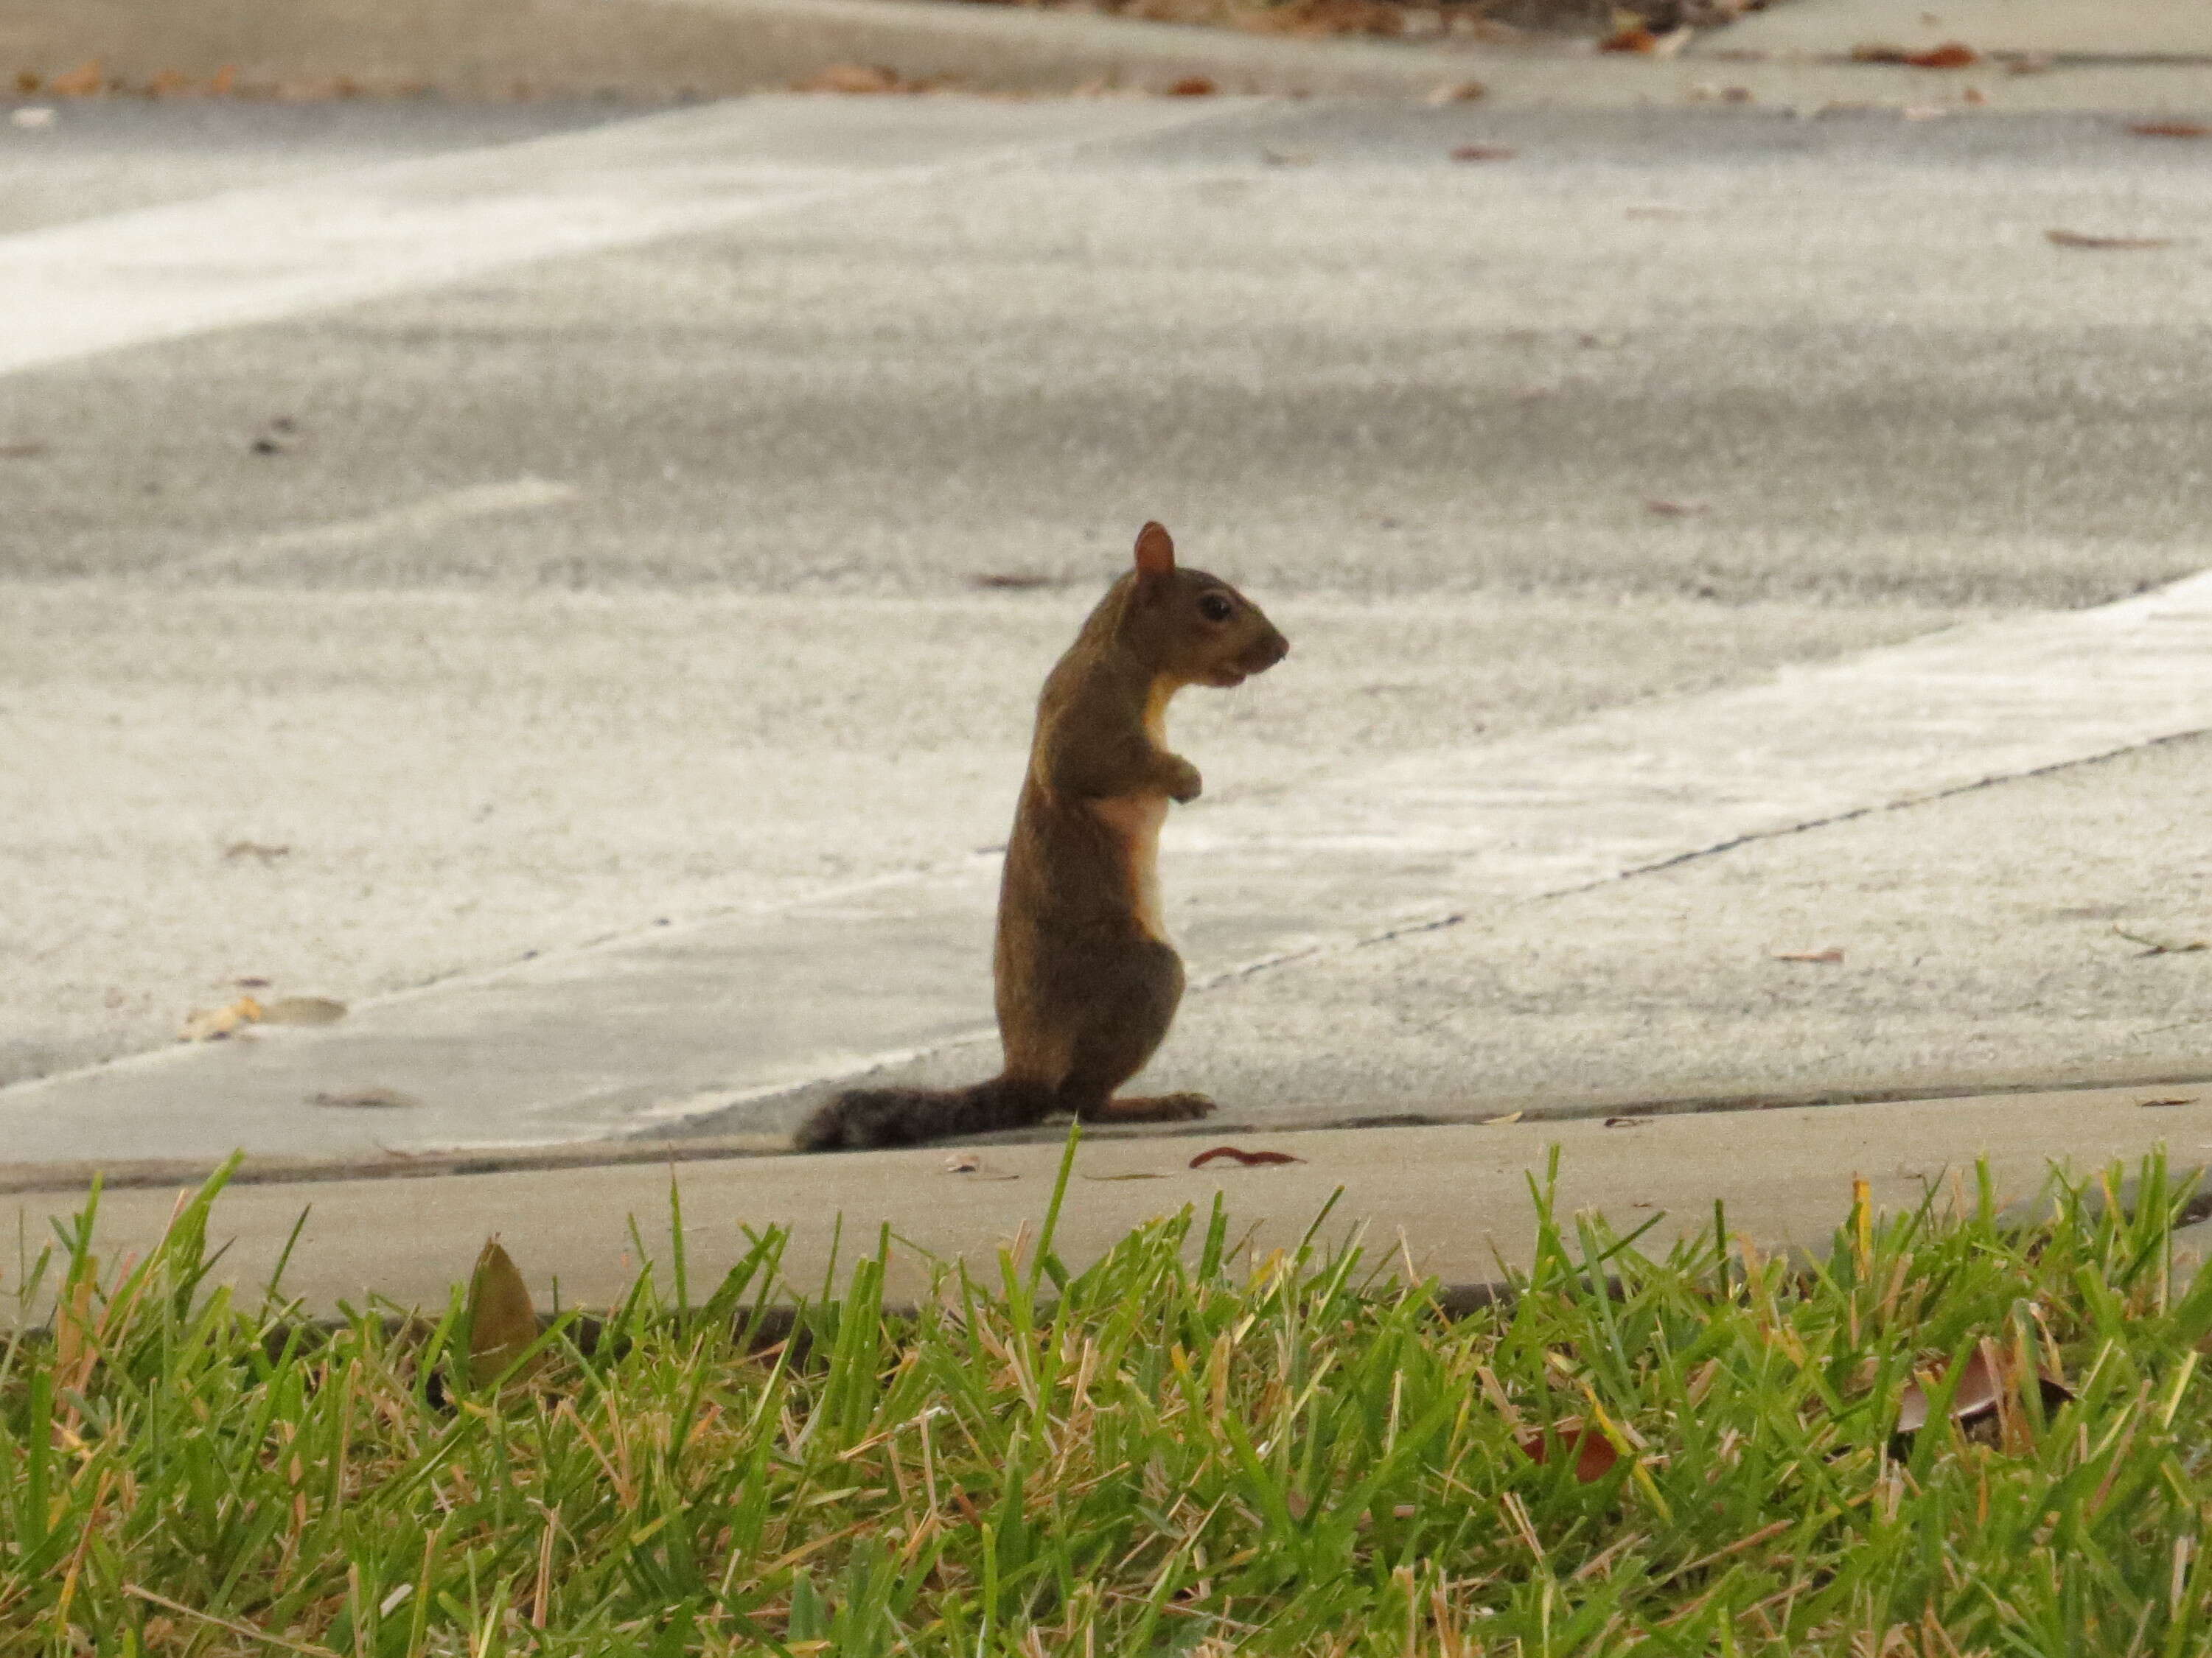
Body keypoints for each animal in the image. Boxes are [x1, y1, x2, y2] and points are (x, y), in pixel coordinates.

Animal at [796, 522, 1291, 1158]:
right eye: (1216, 607)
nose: (1281, 647)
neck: (1125, 658)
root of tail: (1026, 1070)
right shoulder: (1087, 713)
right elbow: (1090, 766)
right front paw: (1186, 778)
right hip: (1144, 978)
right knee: (1079, 1100)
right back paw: (1153, 1103)